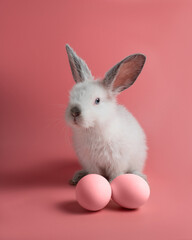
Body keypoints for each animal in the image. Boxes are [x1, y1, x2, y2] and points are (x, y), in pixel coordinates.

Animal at [65, 44, 148, 185]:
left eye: (97, 100)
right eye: (72, 95)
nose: (75, 112)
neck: (92, 129)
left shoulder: (118, 161)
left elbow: (116, 174)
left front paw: (112, 183)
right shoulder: (90, 161)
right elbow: (95, 173)